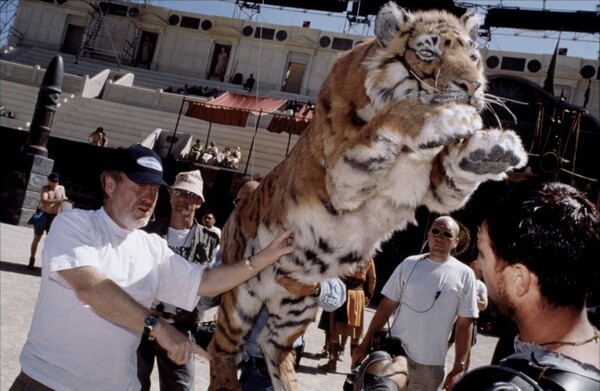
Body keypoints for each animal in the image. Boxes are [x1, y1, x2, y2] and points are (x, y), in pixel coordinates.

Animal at [209, 1, 528, 390]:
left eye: (473, 57)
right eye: (428, 53)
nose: (472, 86)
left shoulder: (439, 189)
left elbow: (455, 170)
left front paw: (493, 149)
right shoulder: (344, 176)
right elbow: (392, 118)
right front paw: (451, 117)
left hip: (294, 307)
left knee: (273, 346)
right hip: (240, 295)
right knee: (221, 348)